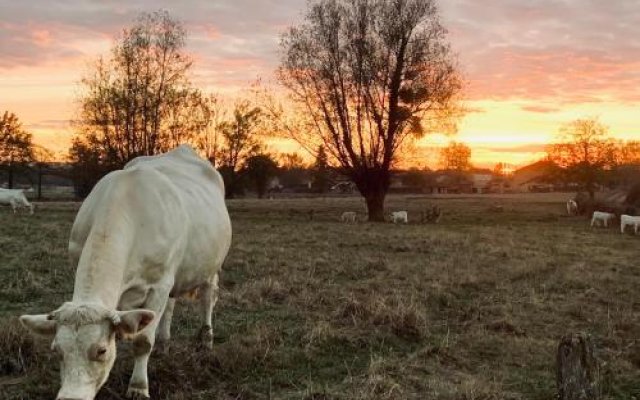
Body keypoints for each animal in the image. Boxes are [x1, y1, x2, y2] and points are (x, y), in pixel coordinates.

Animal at [18, 146, 235, 400]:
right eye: (57, 350)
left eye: (101, 350)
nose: (70, 398)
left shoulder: (159, 285)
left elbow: (142, 341)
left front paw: (138, 387)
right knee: (170, 307)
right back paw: (164, 345)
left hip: (211, 264)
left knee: (207, 297)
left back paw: (205, 341)